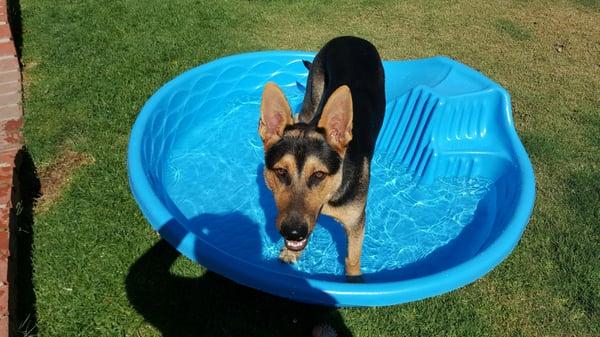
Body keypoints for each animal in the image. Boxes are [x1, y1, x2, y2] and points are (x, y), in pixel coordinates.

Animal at [258, 36, 384, 278]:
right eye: (280, 171)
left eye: (318, 175)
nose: (293, 232)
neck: (331, 192)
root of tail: (351, 38)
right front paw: (292, 253)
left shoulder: (356, 223)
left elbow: (352, 261)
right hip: (313, 92)